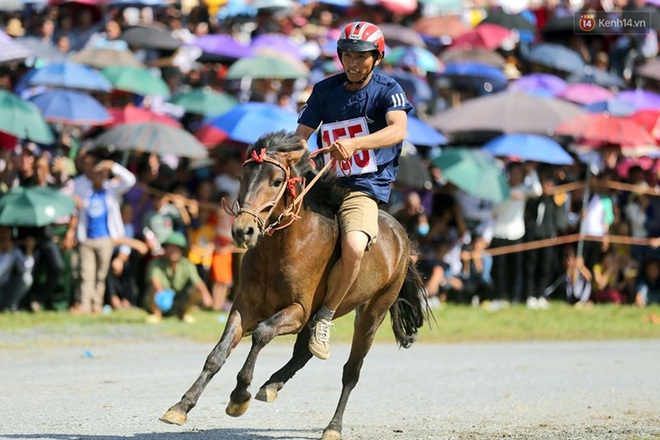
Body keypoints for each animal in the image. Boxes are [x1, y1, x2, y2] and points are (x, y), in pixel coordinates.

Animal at [159, 131, 428, 440]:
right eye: (241, 177)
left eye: (277, 181)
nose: (243, 231)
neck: (281, 246)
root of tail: (401, 234)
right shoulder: (245, 306)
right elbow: (219, 352)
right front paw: (181, 406)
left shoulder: (298, 311)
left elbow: (262, 333)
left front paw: (239, 395)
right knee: (303, 353)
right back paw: (271, 386)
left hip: (372, 313)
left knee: (351, 371)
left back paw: (332, 427)